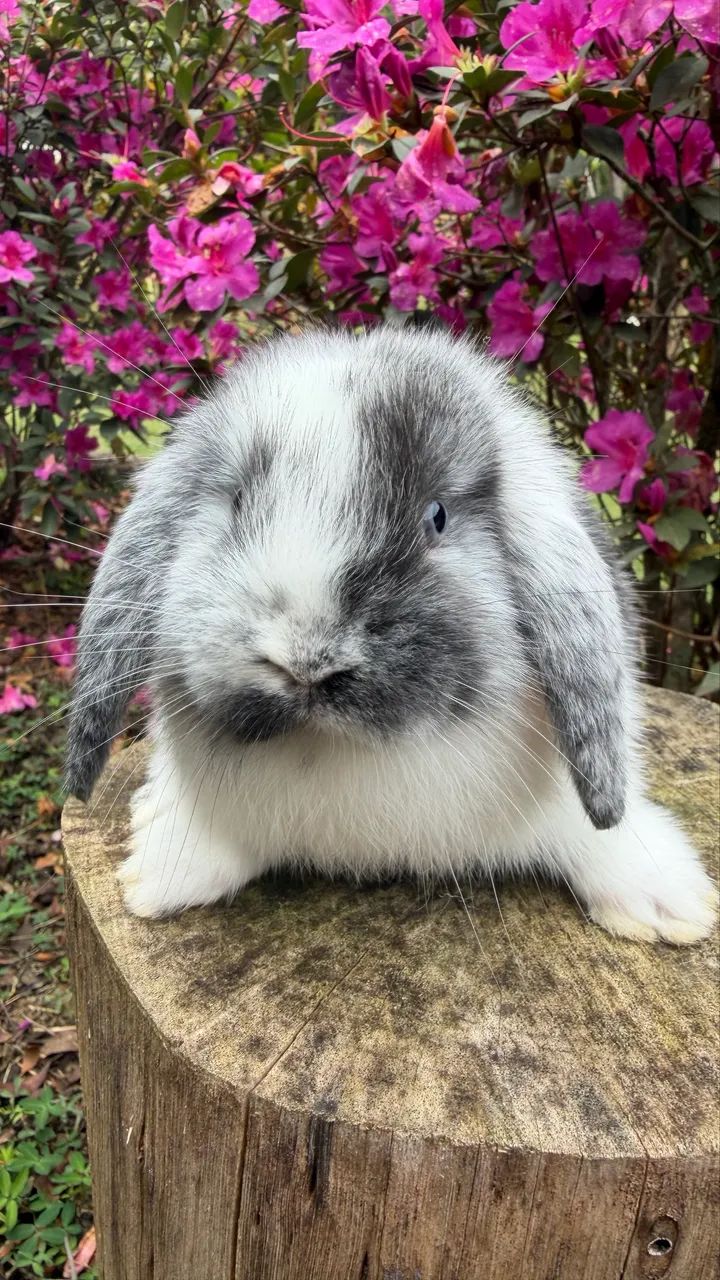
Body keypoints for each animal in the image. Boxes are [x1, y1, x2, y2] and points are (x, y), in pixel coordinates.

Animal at [65, 326, 717, 942]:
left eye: (437, 516)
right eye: (239, 502)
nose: (307, 662)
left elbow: (598, 836)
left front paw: (671, 906)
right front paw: (159, 880)